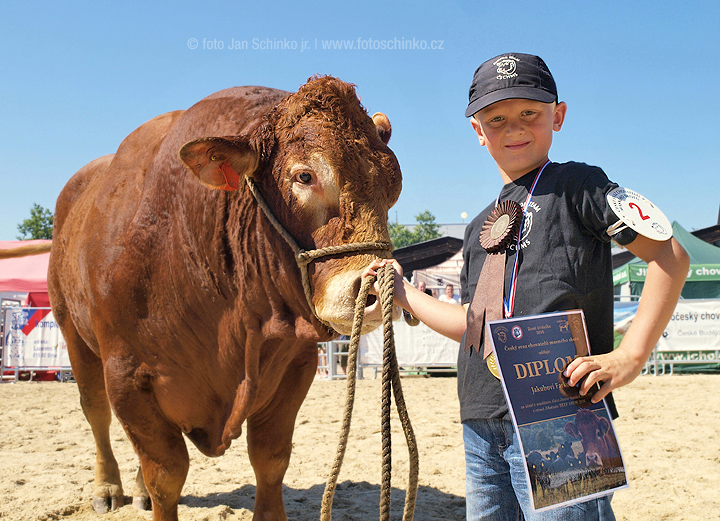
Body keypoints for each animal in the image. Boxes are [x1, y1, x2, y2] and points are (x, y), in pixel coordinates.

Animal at [47, 76, 402, 520]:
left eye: (394, 183)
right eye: (304, 176)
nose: (376, 288)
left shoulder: (297, 365)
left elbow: (270, 458)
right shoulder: (126, 376)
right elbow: (165, 473)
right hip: (72, 331)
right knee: (95, 410)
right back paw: (108, 486)